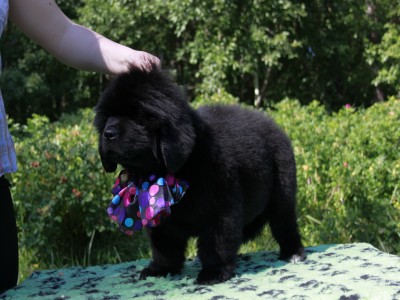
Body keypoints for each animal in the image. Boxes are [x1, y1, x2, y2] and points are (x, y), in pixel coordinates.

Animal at [94, 65, 306, 284]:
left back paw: (293, 252)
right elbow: (165, 247)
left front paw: (213, 272)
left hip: (282, 194)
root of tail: (276, 127)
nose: (108, 134)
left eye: (137, 117)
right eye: (107, 117)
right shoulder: (162, 219)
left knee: (284, 223)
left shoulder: (220, 210)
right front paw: (160, 269)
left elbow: (215, 244)